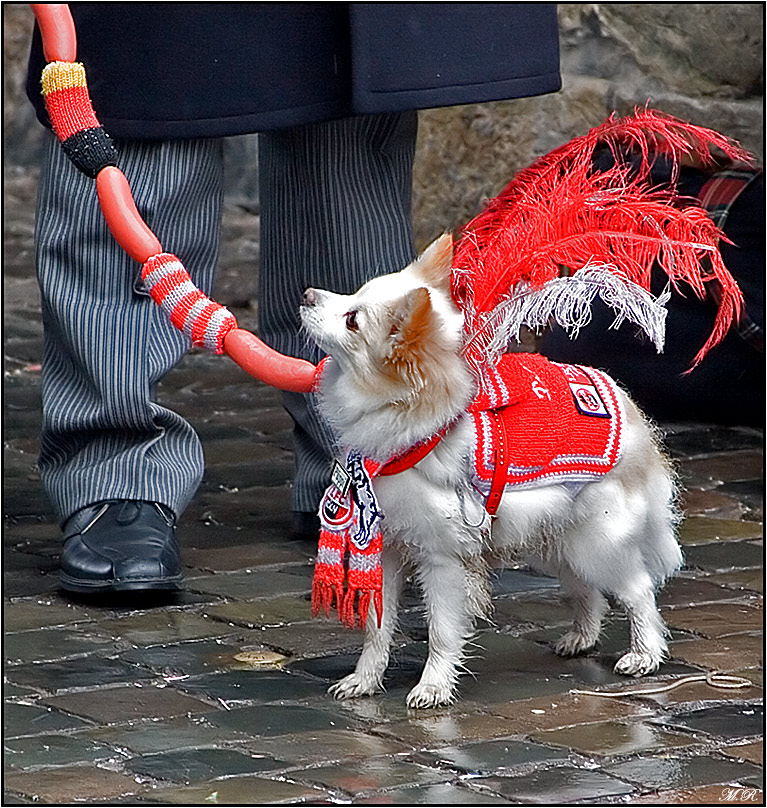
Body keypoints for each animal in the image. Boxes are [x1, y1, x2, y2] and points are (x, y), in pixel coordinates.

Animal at [300, 232, 684, 708]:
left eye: (352, 319)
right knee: (587, 591)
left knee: (637, 589)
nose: (306, 294)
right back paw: (581, 639)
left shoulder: (443, 557)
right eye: (351, 295)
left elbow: (442, 629)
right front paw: (364, 681)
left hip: (597, 541)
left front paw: (432, 686)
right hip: (556, 541)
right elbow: (377, 628)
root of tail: (631, 412)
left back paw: (644, 655)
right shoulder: (387, 549)